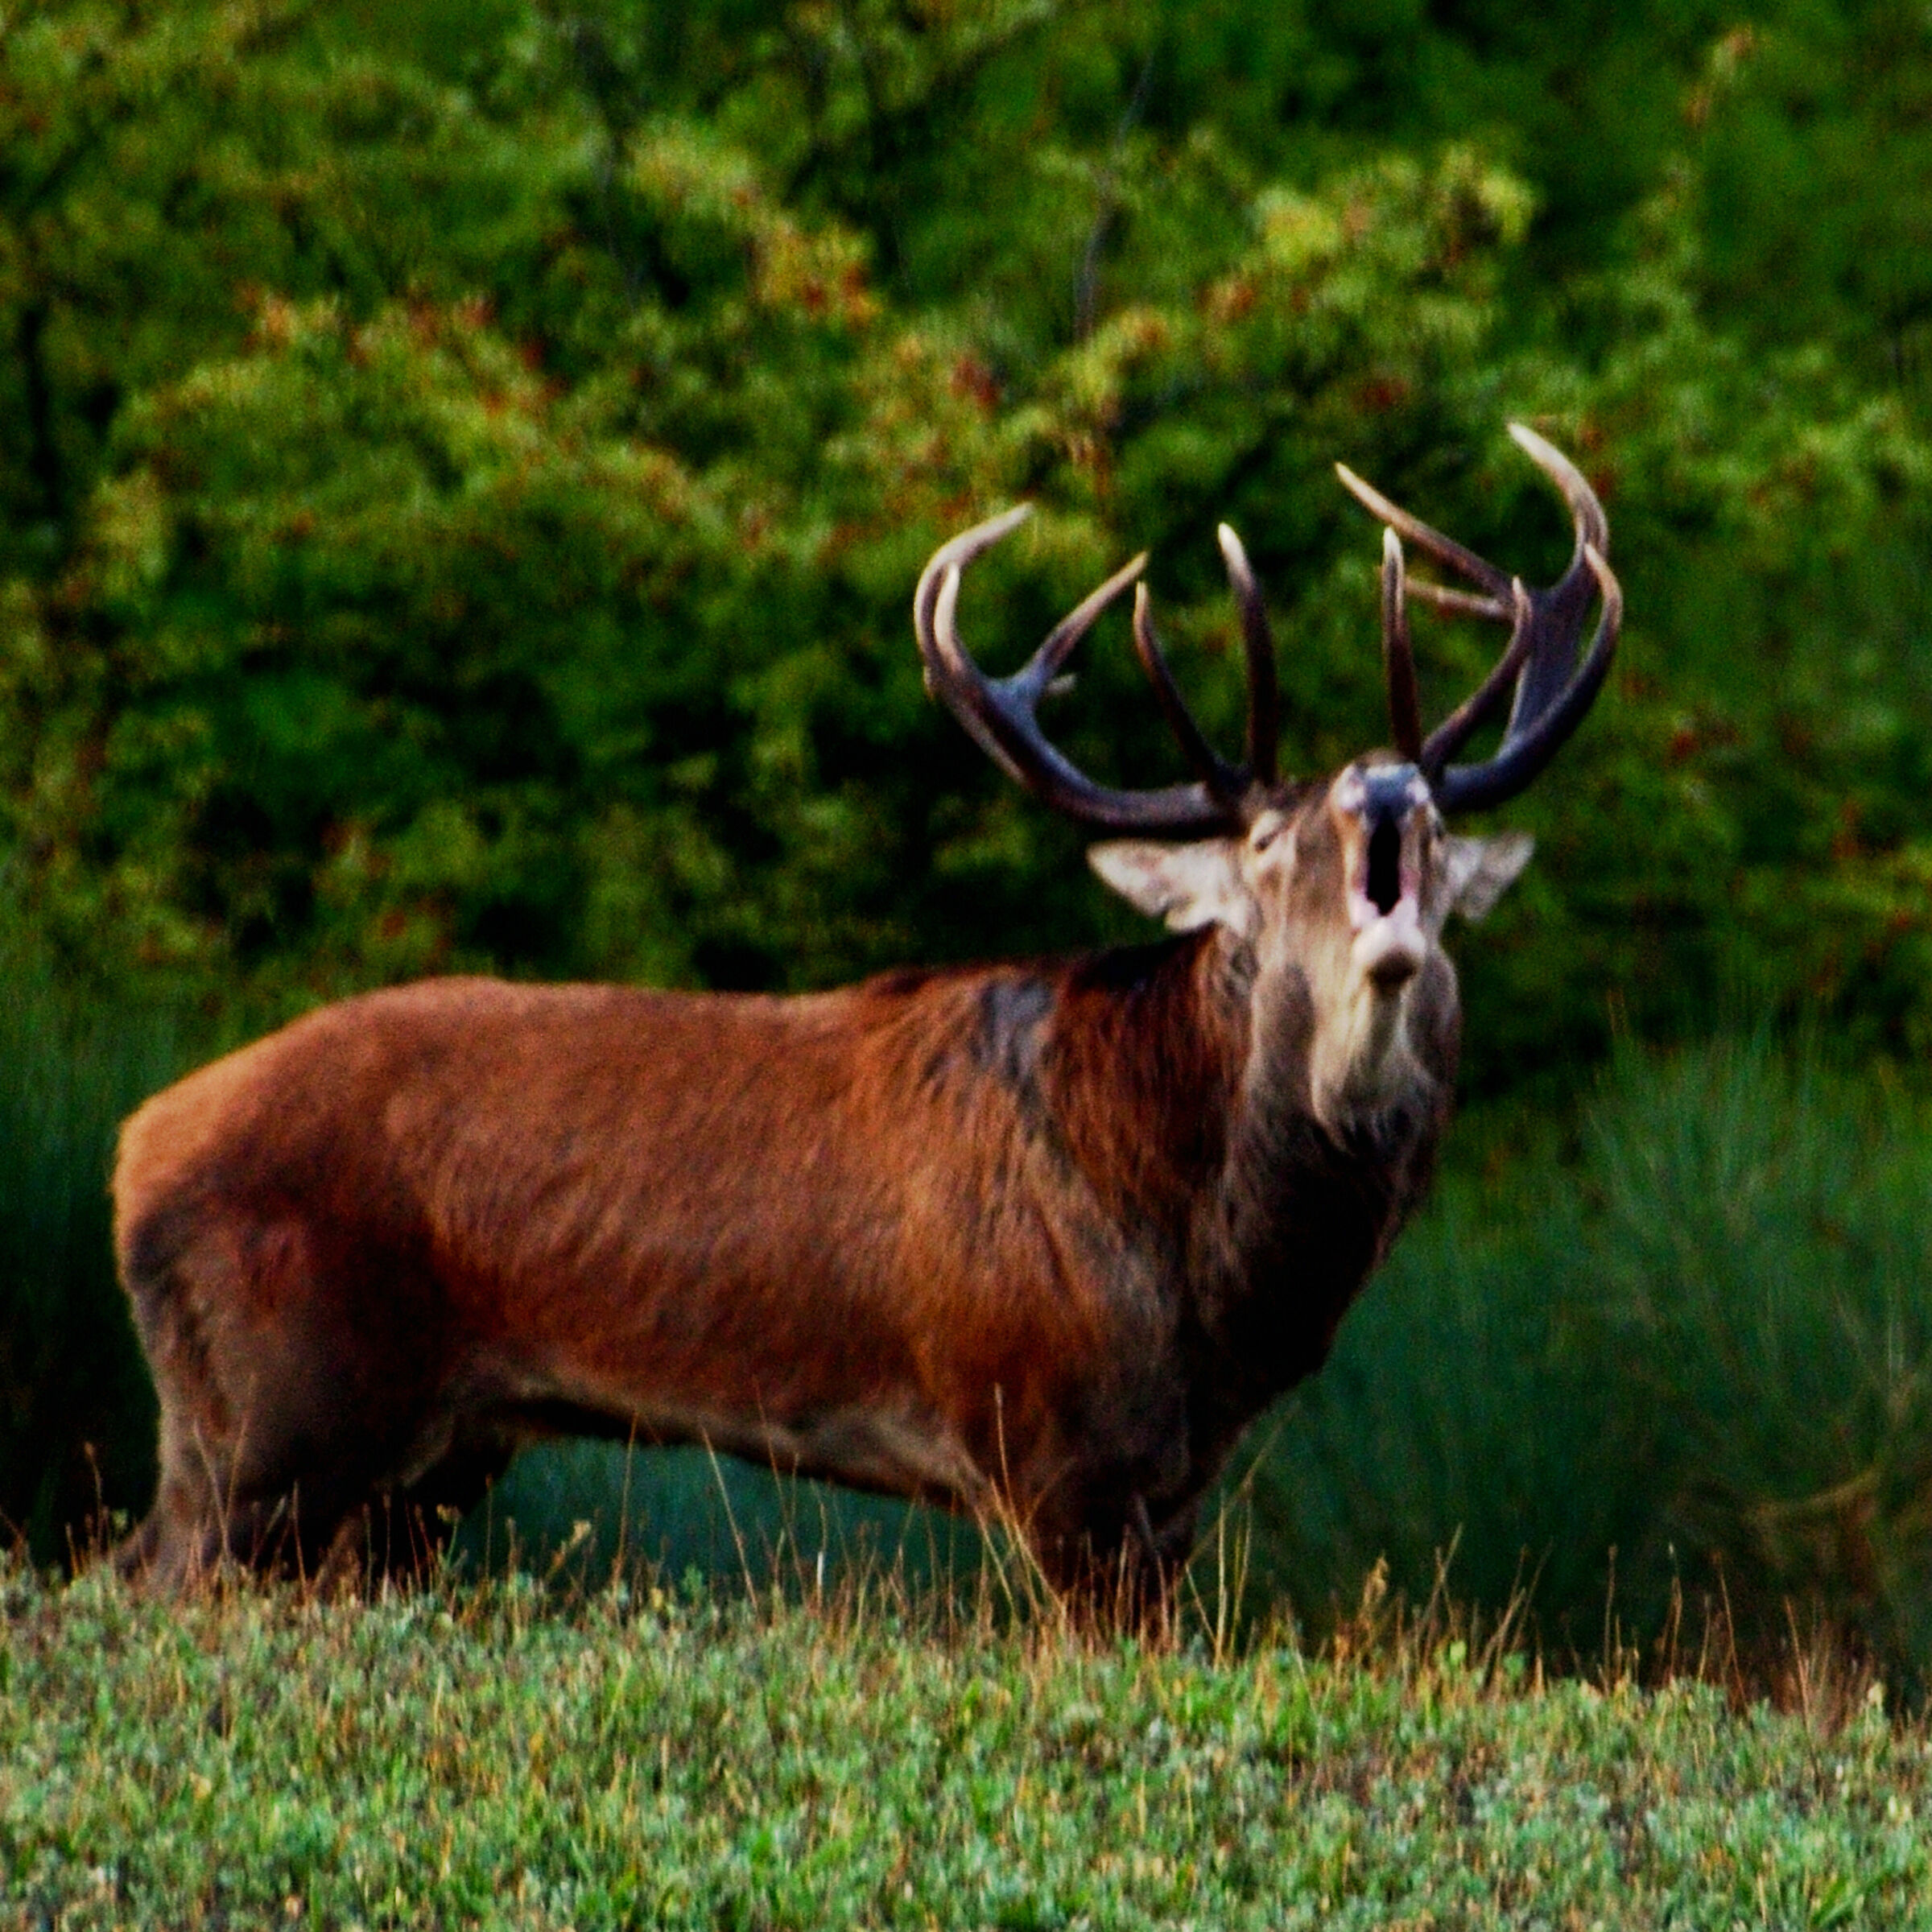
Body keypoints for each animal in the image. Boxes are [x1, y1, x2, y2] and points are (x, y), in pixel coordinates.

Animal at [111, 424, 1619, 1600]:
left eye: (1435, 828)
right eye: (1267, 842)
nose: (1386, 790)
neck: (1215, 1280)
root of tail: (134, 1149)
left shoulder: (1172, 1488)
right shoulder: (1055, 1446)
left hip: (418, 1462)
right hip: (272, 1408)